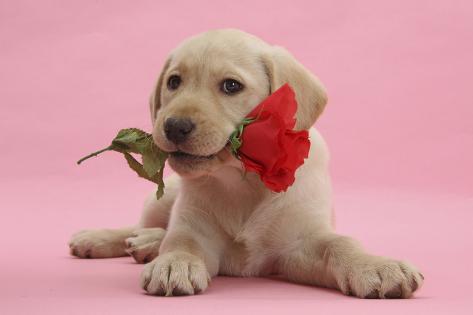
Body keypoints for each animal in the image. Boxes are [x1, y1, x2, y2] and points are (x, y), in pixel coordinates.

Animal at [68, 29, 422, 298]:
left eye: (231, 86)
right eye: (174, 82)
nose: (174, 126)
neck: (242, 179)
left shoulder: (299, 244)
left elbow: (339, 243)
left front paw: (375, 265)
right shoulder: (195, 226)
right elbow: (181, 240)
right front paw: (173, 263)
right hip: (164, 197)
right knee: (145, 225)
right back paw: (107, 239)